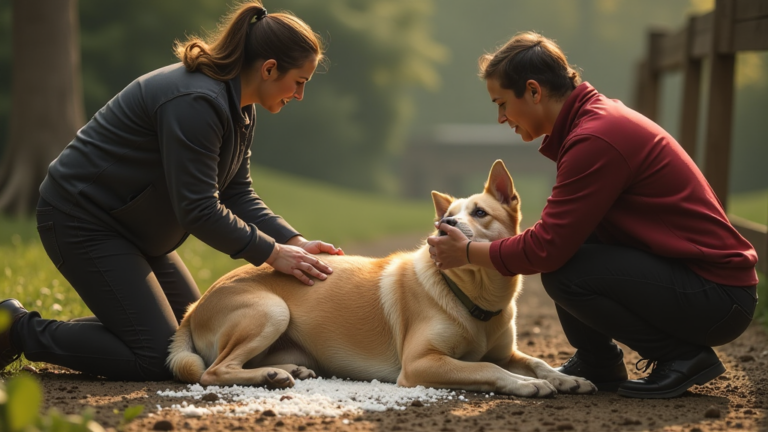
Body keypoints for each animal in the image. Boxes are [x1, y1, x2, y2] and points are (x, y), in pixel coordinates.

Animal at [168, 160, 596, 396]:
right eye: (446, 218)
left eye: (480, 213)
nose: (445, 226)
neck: (471, 296)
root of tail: (193, 307)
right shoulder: (421, 363)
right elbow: (488, 369)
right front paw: (526, 385)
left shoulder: (506, 351)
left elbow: (535, 360)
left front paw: (565, 379)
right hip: (272, 311)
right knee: (214, 371)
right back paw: (271, 375)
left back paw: (284, 371)